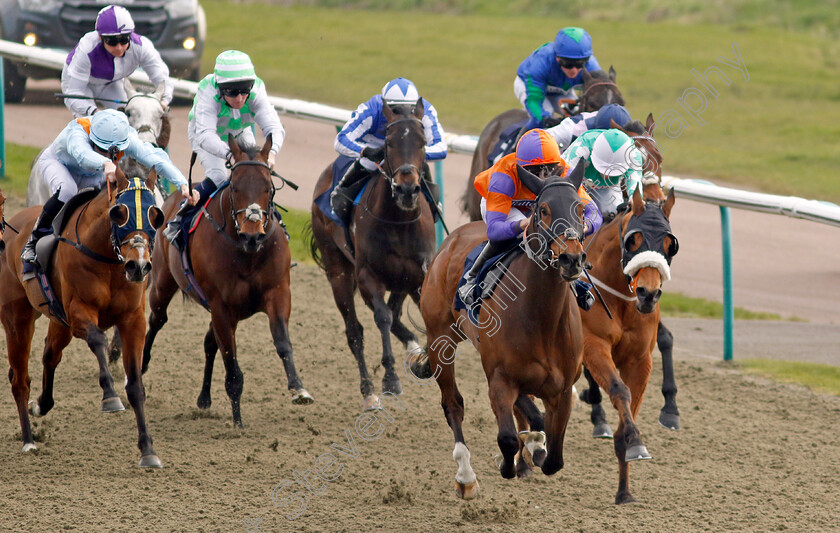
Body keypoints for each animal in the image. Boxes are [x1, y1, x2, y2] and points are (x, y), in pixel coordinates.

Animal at [0, 166, 166, 466]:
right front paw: (110, 396)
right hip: (17, 318)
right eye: (119, 213)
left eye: (155, 215)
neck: (109, 261)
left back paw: (40, 405)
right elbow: (98, 340)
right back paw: (29, 440)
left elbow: (136, 386)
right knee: (20, 379)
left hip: (58, 321)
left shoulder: (132, 321)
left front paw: (148, 450)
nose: (138, 266)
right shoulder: (79, 312)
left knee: (49, 355)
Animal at [143, 135, 314, 426]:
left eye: (269, 188)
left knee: (209, 343)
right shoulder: (222, 307)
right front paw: (237, 422)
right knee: (156, 321)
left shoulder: (278, 293)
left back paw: (204, 398)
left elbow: (282, 341)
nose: (252, 235)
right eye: (234, 187)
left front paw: (299, 388)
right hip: (163, 284)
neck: (247, 253)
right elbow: (232, 368)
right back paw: (137, 371)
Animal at [312, 102, 436, 410]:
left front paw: (424, 361)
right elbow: (381, 318)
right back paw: (368, 391)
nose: (407, 189)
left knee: (395, 312)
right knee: (355, 331)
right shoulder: (368, 276)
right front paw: (390, 378)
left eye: (423, 142)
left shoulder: (420, 275)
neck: (399, 221)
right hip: (338, 271)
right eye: (389, 143)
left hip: (401, 280)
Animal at [416, 164, 588, 496]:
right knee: (453, 404)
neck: (543, 319)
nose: (571, 258)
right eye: (543, 210)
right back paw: (466, 477)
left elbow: (554, 456)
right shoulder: (499, 379)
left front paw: (535, 449)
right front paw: (509, 462)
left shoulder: (561, 391)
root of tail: (450, 241)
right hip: (440, 339)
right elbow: (507, 438)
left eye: (581, 209)